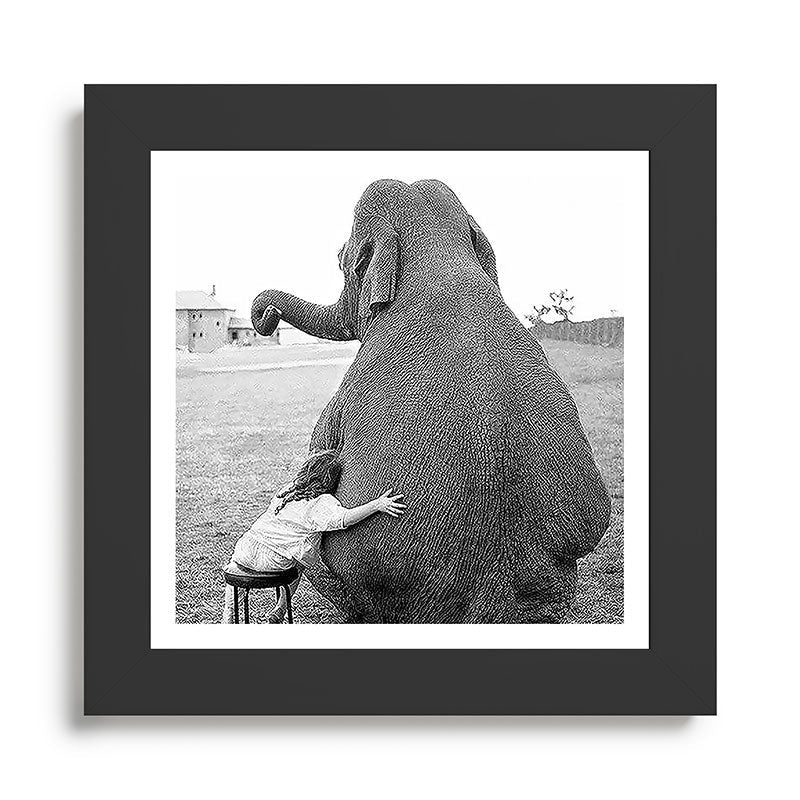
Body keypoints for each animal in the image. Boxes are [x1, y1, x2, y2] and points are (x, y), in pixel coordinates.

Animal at [251, 179, 611, 623]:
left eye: (340, 258)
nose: (266, 315)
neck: (439, 256)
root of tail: (490, 603)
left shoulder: (344, 394)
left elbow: (320, 451)